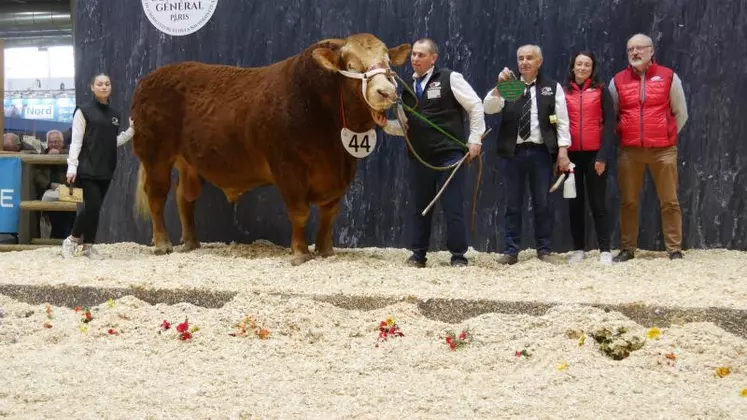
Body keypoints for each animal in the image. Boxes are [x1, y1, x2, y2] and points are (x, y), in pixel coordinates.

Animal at [129, 32, 410, 264]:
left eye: (388, 64)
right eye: (351, 66)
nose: (386, 91)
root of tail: (148, 79)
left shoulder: (340, 173)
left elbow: (329, 213)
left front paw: (325, 250)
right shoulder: (287, 167)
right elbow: (300, 212)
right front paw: (299, 253)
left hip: (187, 162)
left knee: (184, 197)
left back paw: (190, 242)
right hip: (154, 154)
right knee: (157, 195)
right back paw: (162, 244)